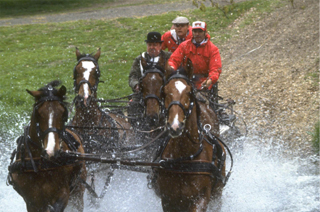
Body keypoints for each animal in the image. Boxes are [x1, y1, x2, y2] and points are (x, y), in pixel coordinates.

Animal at [7, 80, 86, 211]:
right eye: (38, 113)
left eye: (63, 113)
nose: (51, 151)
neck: (42, 165)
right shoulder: (32, 202)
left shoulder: (64, 193)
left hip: (78, 190)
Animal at [156, 60, 228, 212]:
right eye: (164, 92)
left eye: (189, 92)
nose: (175, 126)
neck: (184, 158)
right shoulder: (168, 201)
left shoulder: (200, 199)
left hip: (217, 193)